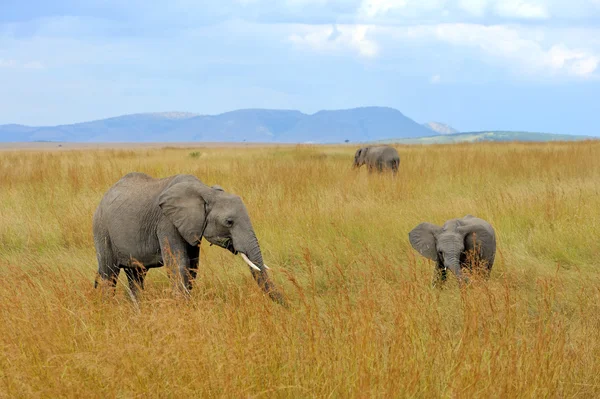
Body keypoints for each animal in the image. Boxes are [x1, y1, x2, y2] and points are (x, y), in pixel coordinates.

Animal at [92, 172, 284, 304]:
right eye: (229, 222)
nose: (287, 306)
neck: (206, 191)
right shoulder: (167, 222)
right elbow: (178, 263)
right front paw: (181, 306)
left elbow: (192, 266)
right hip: (102, 229)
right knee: (109, 273)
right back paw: (107, 306)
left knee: (136, 275)